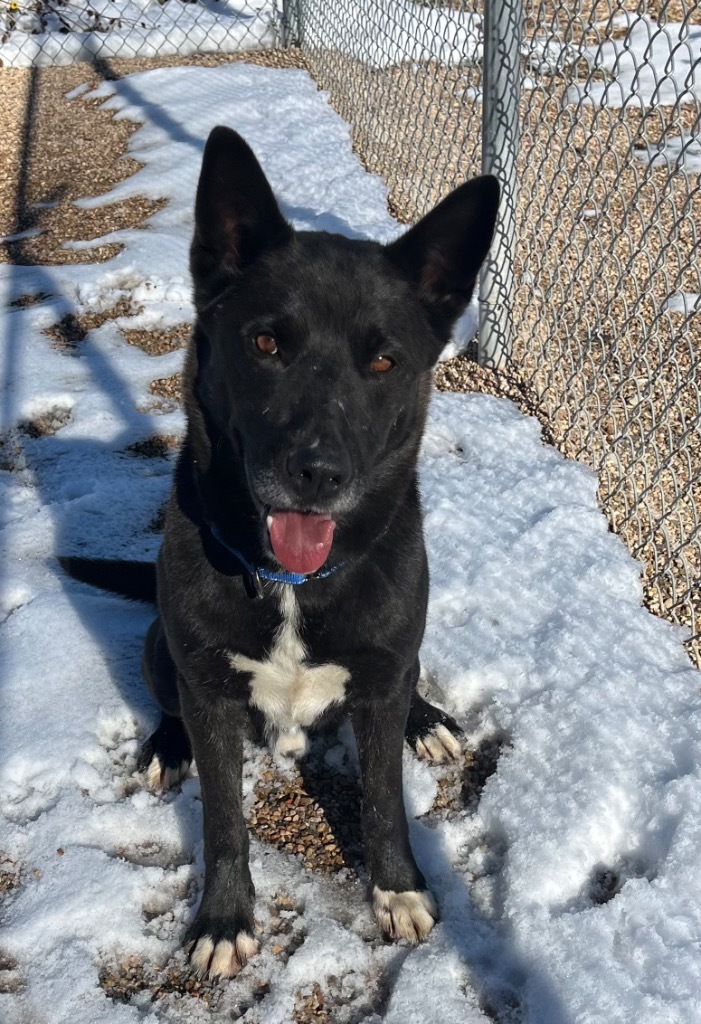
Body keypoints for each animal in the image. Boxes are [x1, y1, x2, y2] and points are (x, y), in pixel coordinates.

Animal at [60, 125, 497, 974]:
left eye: (384, 361)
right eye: (264, 343)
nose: (317, 475)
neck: (294, 581)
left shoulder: (381, 676)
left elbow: (384, 801)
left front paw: (397, 888)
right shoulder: (209, 691)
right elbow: (223, 821)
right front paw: (224, 918)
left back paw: (426, 719)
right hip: (163, 648)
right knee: (168, 698)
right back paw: (166, 745)